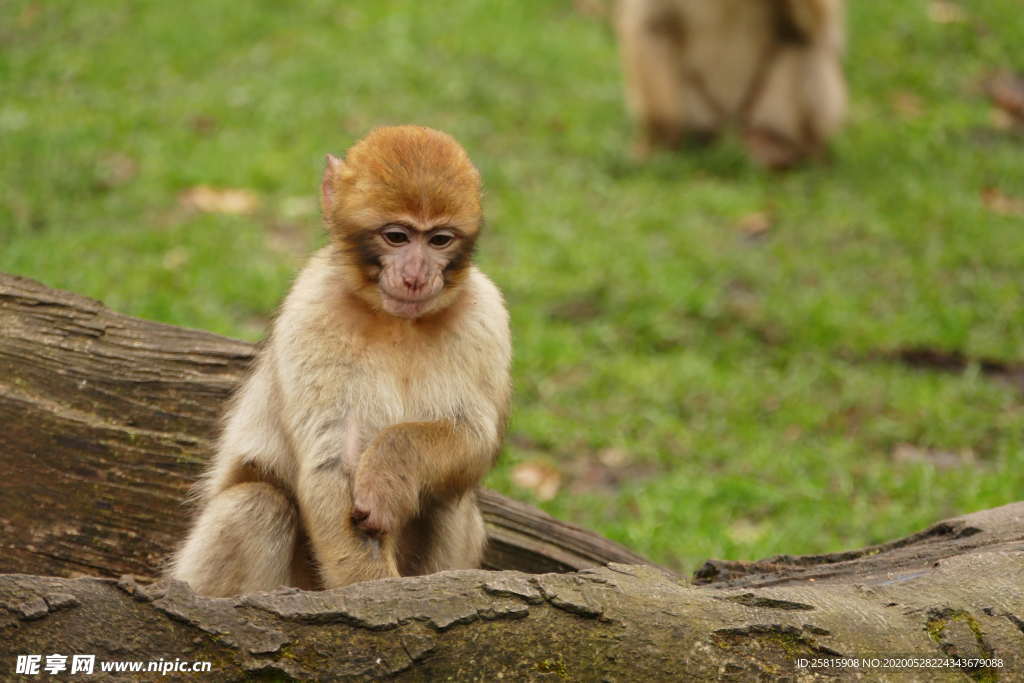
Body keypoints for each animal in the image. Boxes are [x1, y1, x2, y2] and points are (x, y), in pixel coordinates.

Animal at [176, 125, 516, 593]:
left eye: (439, 239)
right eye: (397, 236)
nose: (416, 277)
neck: (398, 322)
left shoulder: (485, 314)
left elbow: (473, 436)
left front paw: (392, 466)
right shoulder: (314, 309)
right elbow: (333, 460)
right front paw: (378, 592)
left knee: (451, 503)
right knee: (257, 503)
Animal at [614, 0, 847, 169]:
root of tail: (731, 128)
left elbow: (819, 25)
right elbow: (653, 25)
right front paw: (660, 139)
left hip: (772, 112)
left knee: (805, 44)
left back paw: (790, 150)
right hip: (702, 110)